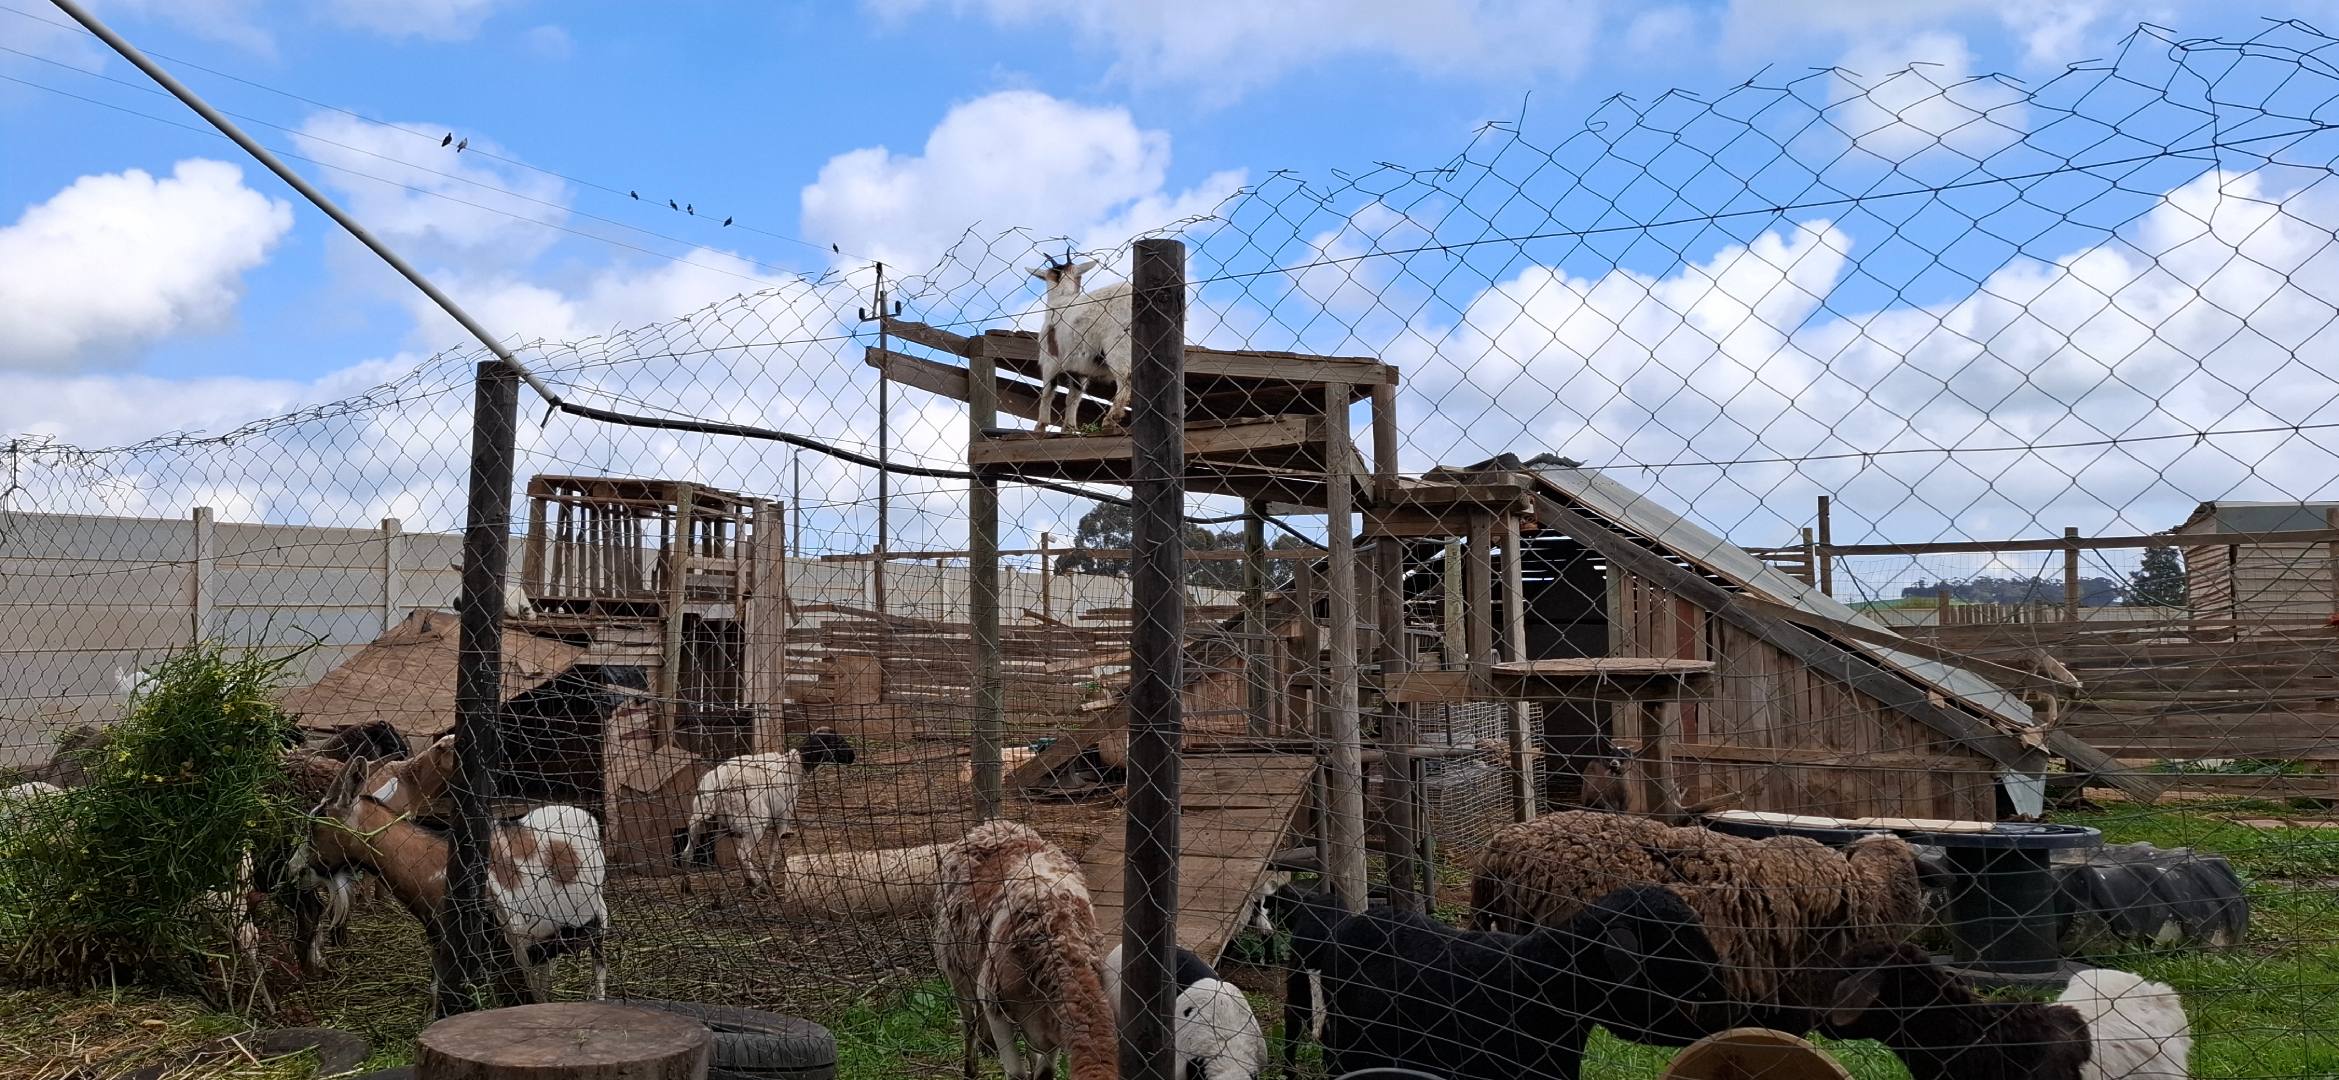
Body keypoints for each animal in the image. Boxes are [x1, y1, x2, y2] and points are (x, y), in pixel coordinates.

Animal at [304, 753, 608, 1014]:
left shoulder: (503, 947)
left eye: (315, 825)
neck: (438, 865)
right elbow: (438, 990)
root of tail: (585, 817)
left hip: (597, 920)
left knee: (599, 968)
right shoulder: (443, 942)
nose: (302, 869)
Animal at [676, 727, 856, 896]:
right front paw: (767, 879)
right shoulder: (782, 820)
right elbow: (772, 851)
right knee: (743, 854)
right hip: (755, 821)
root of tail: (716, 785)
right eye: (838, 740)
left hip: (700, 818)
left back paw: (686, 886)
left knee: (687, 853)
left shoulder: (726, 828)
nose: (853, 756)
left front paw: (747, 881)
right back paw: (761, 885)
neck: (793, 766)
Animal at [933, 819, 1116, 1080]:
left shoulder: (1052, 1023)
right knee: (968, 1024)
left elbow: (1044, 1072)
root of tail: (993, 825)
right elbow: (1016, 1074)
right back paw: (970, 1069)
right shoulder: (996, 1007)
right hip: (956, 966)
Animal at [1029, 259, 1135, 434]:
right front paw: (1069, 427)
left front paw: (1040, 426)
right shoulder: (1079, 370)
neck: (1061, 300)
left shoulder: (1050, 360)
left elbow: (1047, 392)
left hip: (1118, 342)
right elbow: (1073, 397)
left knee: (1125, 378)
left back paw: (1110, 420)